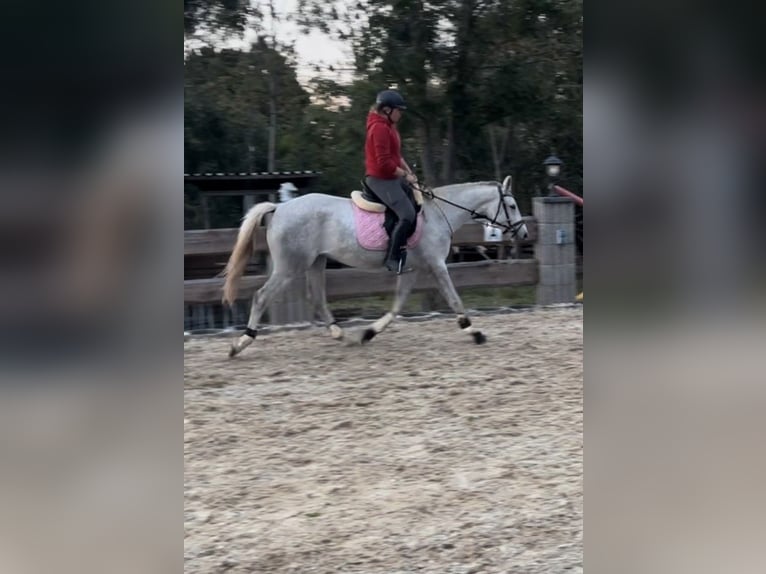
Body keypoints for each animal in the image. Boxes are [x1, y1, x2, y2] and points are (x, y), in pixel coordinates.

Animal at [222, 176, 529, 357]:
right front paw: (474, 332)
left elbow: (397, 306)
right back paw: (240, 343)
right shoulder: (436, 265)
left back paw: (341, 335)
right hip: (290, 266)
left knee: (317, 298)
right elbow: (454, 299)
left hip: (315, 262)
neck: (438, 214)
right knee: (261, 296)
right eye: (512, 206)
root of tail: (279, 208)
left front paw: (369, 333)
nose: (524, 234)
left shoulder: (414, 269)